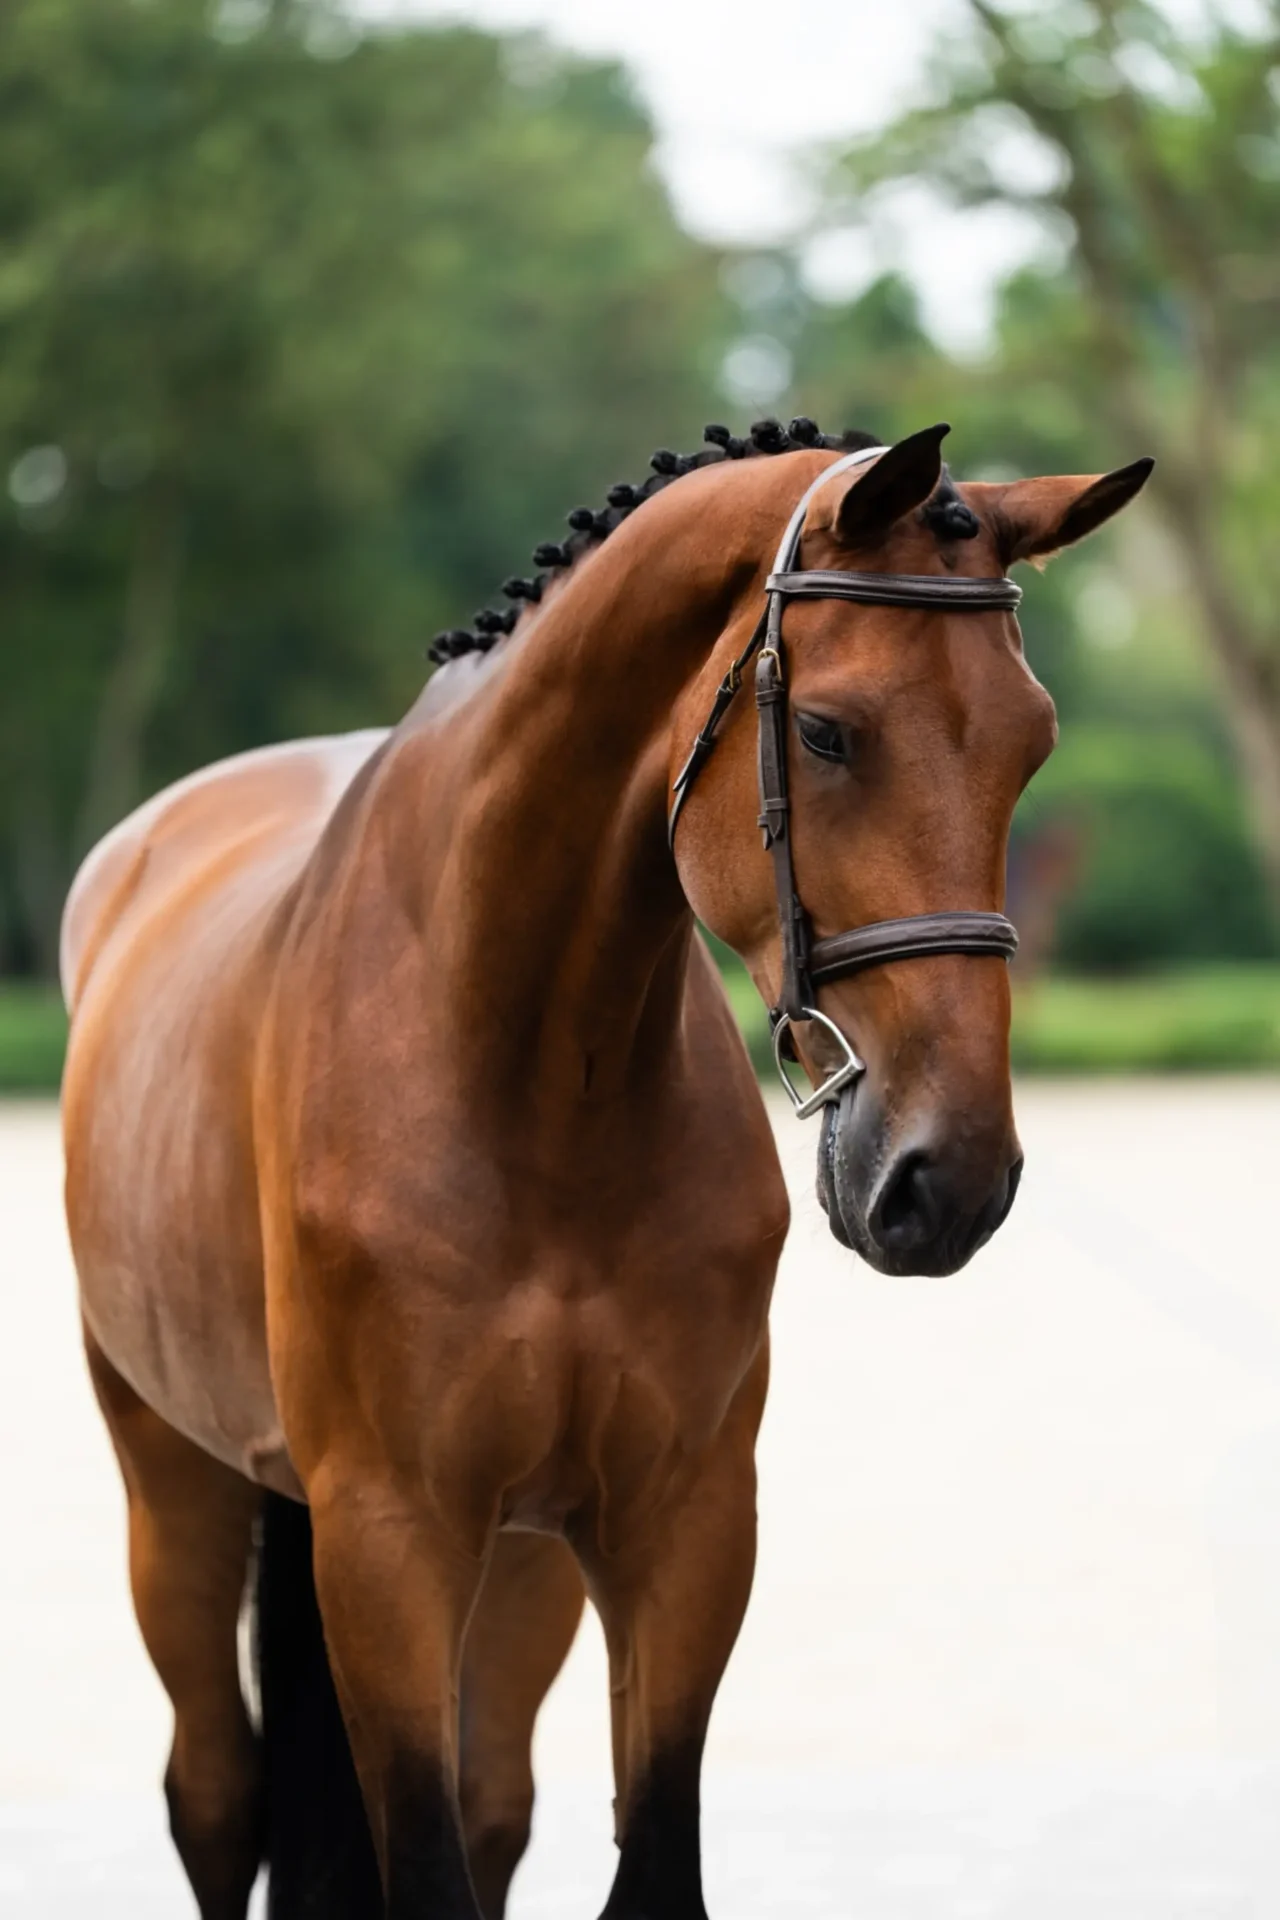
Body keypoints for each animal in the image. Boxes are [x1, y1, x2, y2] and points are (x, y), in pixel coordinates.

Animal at [59, 416, 1150, 1919]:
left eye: (1030, 744)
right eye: (827, 732)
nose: (949, 1177)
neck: (529, 1077)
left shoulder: (681, 1526)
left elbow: (646, 1859)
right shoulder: (388, 1542)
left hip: (520, 1563)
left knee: (491, 1801)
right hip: (176, 1483)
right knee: (215, 1797)